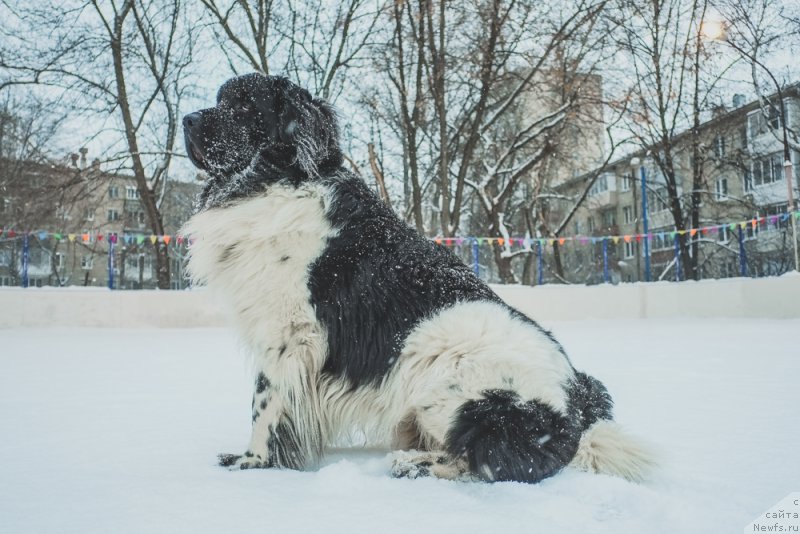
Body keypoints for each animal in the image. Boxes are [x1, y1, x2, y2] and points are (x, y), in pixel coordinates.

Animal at [183, 72, 656, 486]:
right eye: (221, 99)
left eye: (244, 105)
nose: (187, 119)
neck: (277, 180)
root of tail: (576, 404)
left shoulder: (289, 335)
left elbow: (264, 404)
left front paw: (253, 462)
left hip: (450, 382)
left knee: (497, 461)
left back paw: (415, 465)